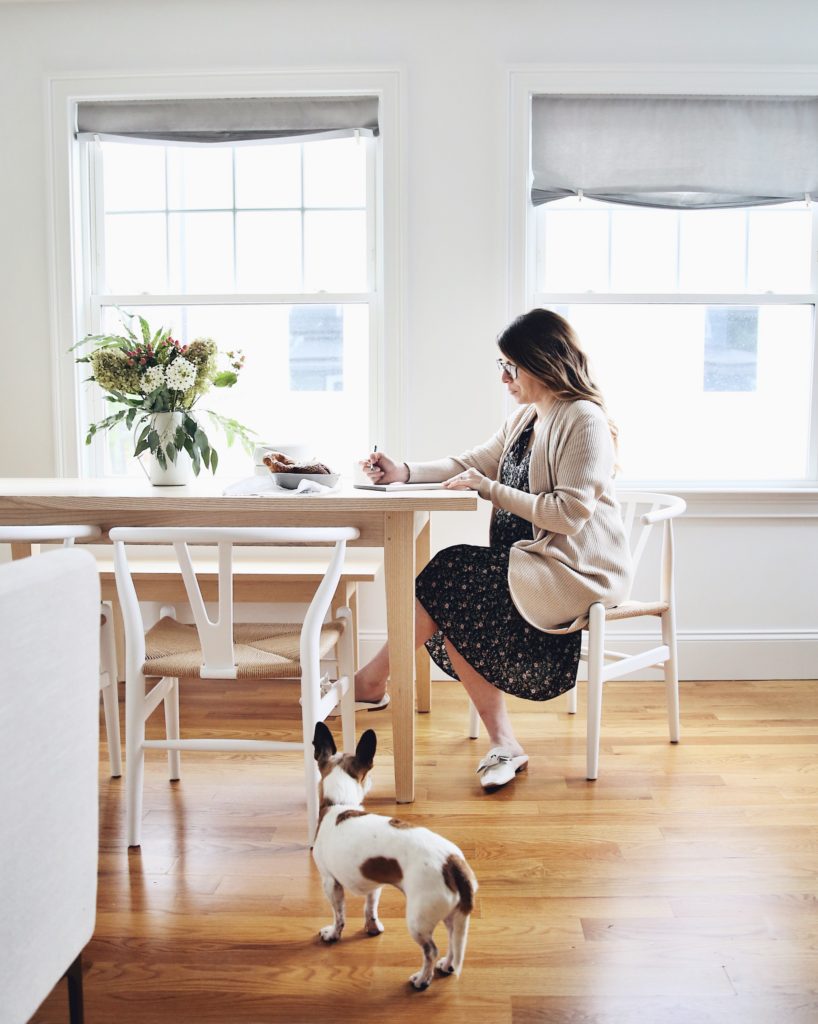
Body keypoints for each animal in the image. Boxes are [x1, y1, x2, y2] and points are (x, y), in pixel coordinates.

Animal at [313, 720, 479, 991]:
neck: (339, 803)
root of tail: (452, 863)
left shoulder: (330, 883)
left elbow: (339, 915)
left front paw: (333, 934)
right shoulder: (374, 885)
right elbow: (370, 909)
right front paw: (372, 928)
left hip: (417, 921)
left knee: (430, 951)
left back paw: (423, 979)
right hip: (452, 915)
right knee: (453, 942)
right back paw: (446, 966)